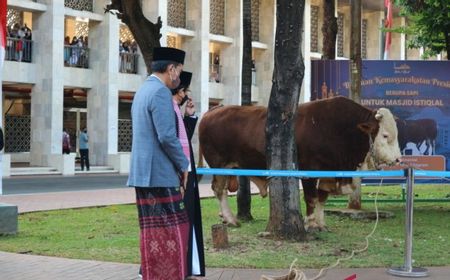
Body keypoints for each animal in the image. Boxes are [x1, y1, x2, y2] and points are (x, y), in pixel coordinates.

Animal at [199, 96, 402, 230]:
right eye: (385, 135)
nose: (397, 159)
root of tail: (214, 110)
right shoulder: (309, 171)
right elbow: (311, 197)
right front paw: (311, 223)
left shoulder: (328, 173)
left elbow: (322, 198)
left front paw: (321, 223)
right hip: (218, 164)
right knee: (219, 190)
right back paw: (230, 219)